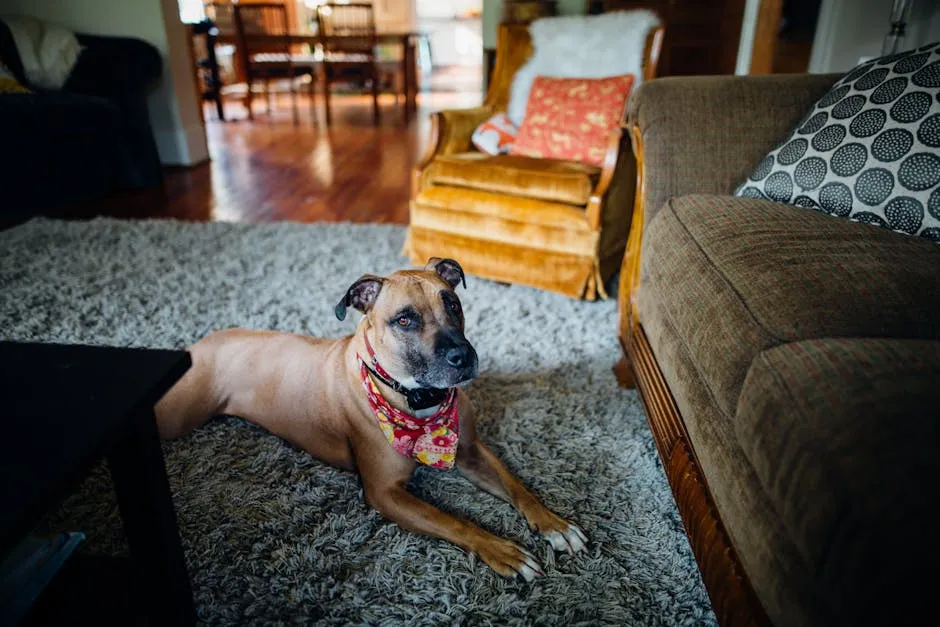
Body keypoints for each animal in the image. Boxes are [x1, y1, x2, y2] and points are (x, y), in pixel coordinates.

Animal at [157, 258, 584, 580]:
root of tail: (203, 342)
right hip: (175, 415)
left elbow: (518, 487)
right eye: (405, 320)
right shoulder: (385, 492)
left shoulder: (471, 451)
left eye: (452, 304)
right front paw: (503, 551)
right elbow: (453, 521)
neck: (415, 399)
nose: (462, 356)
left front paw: (555, 525)